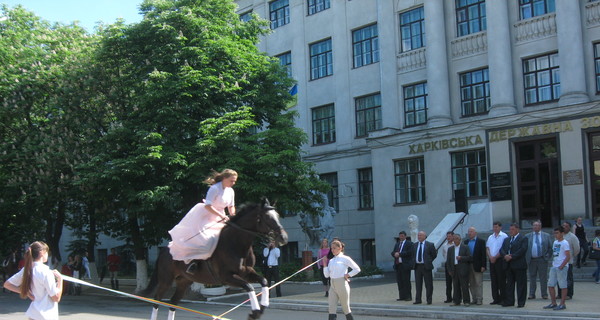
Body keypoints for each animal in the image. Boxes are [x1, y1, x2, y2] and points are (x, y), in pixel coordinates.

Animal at [143, 199, 288, 318]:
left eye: (278, 216)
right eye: (267, 217)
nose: (284, 238)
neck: (236, 243)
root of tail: (164, 250)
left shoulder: (246, 272)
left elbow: (264, 281)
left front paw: (262, 307)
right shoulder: (226, 277)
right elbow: (249, 287)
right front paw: (255, 312)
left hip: (183, 281)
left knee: (173, 303)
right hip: (166, 280)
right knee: (156, 300)